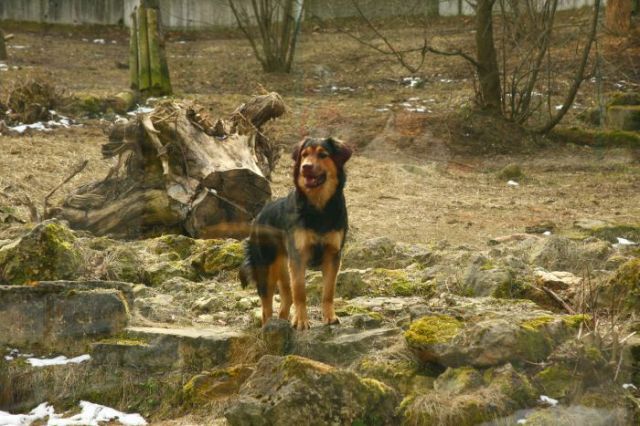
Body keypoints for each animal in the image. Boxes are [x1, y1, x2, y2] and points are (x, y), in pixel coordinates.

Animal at [240, 136, 352, 330]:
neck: (318, 208)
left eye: (323, 155)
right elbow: (300, 292)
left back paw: (282, 322)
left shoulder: (332, 254)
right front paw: (300, 321)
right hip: (266, 268)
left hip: (283, 266)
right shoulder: (298, 256)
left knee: (286, 298)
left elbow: (328, 291)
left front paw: (330, 317)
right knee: (267, 306)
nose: (305, 167)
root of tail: (260, 214)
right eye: (304, 155)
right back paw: (269, 327)